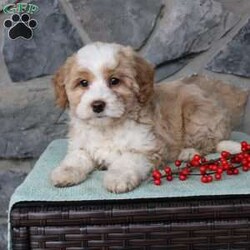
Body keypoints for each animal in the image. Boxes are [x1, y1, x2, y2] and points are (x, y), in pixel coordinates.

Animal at [50, 41, 246, 193]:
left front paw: (118, 178)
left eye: (114, 81)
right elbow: (76, 158)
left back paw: (188, 152)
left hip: (196, 115)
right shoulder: (81, 145)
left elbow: (127, 162)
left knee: (210, 143)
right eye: (83, 83)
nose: (98, 105)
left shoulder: (145, 147)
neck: (108, 128)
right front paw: (65, 173)